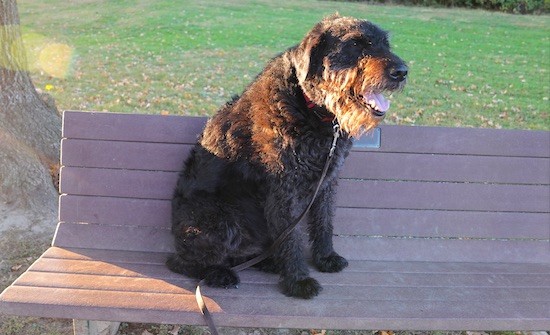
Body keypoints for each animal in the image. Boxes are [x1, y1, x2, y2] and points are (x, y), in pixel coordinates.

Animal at [166, 15, 408, 300]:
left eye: (385, 43)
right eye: (355, 44)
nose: (402, 72)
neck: (310, 108)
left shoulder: (327, 182)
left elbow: (324, 222)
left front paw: (325, 258)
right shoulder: (285, 190)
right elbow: (292, 239)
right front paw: (298, 281)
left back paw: (268, 262)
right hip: (221, 220)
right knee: (181, 262)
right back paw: (220, 273)